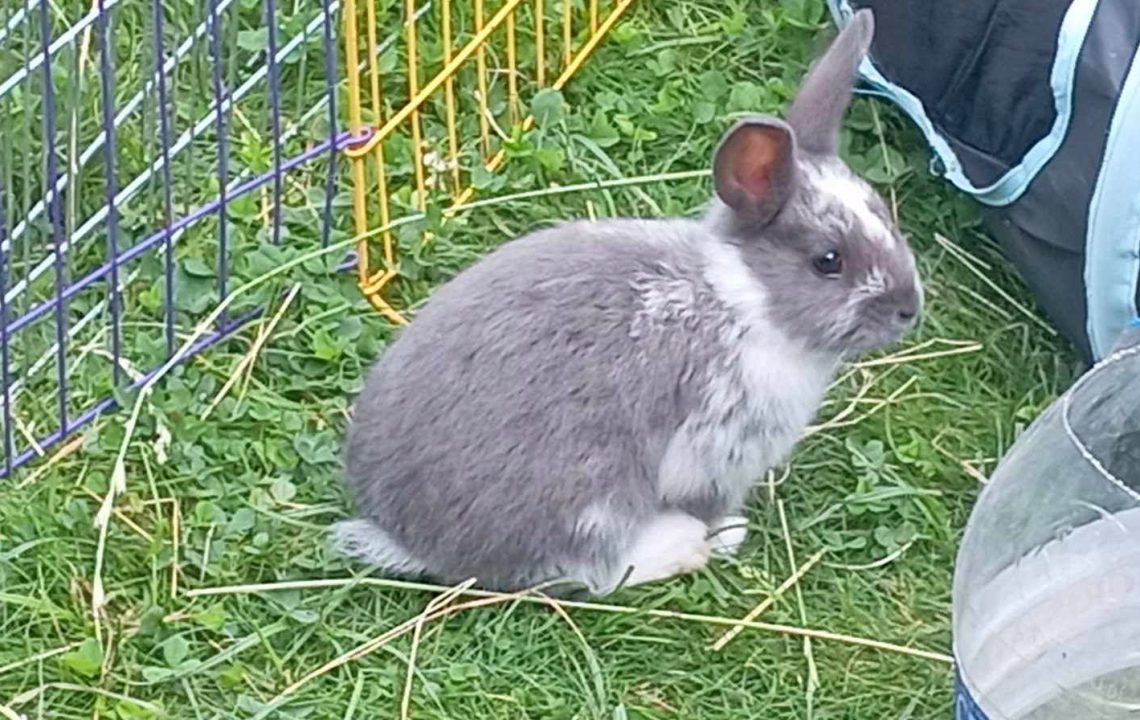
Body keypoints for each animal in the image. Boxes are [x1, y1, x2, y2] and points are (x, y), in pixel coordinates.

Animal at [333, 9, 921, 596]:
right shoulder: (717, 451)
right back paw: (681, 547)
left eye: (883, 212)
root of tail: (408, 536)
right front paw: (728, 533)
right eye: (828, 260)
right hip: (592, 490)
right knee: (586, 570)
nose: (909, 309)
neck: (742, 299)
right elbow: (708, 505)